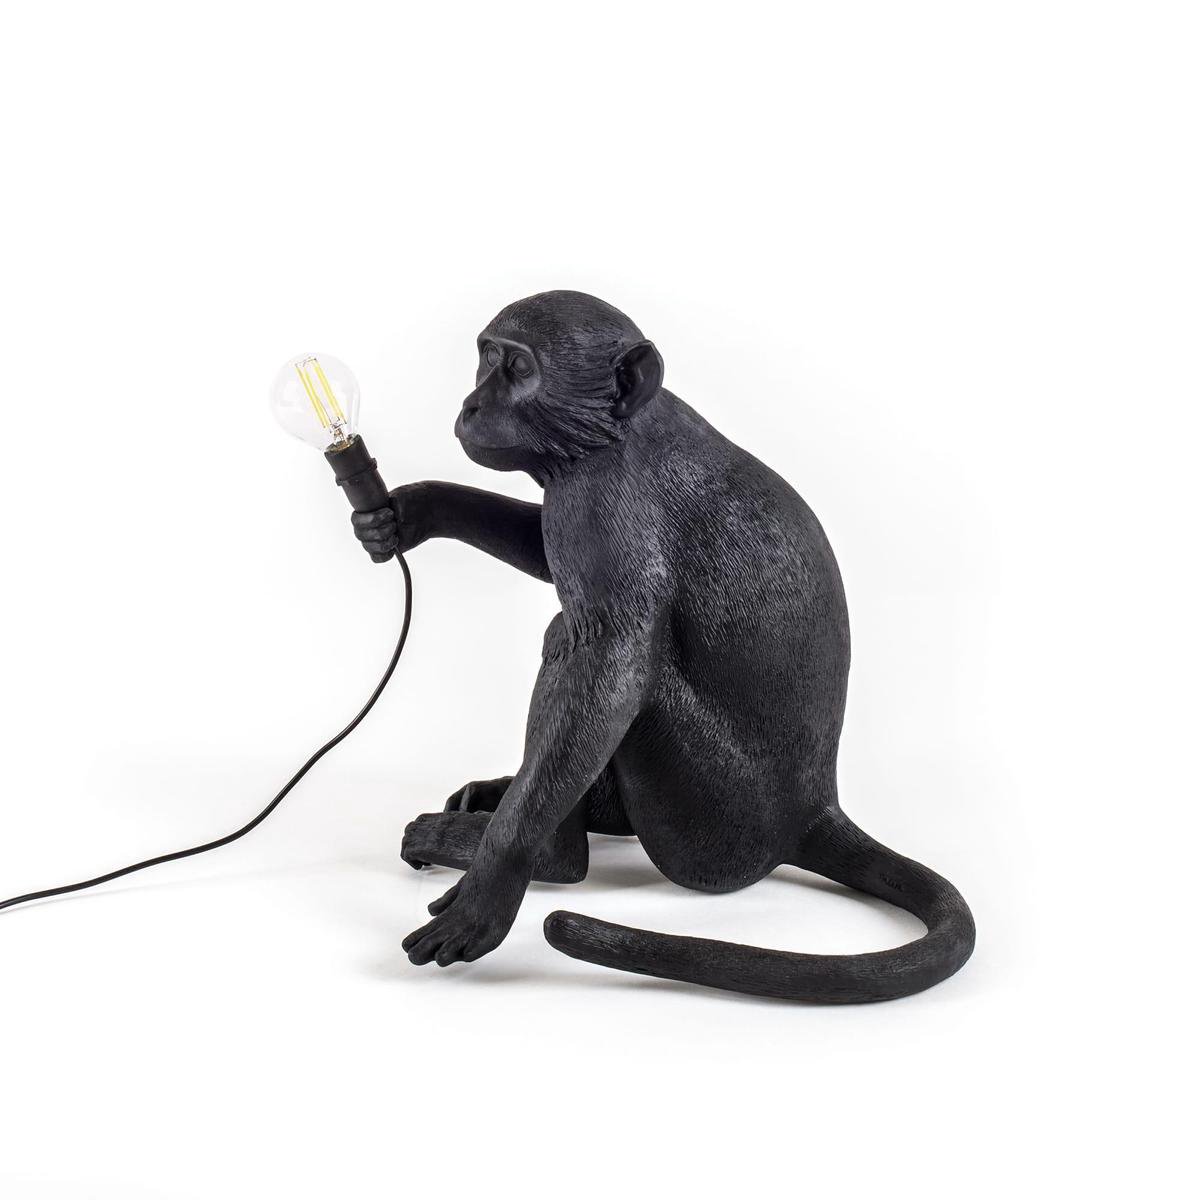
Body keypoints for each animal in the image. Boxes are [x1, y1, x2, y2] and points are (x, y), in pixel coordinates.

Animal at [351, 290, 975, 1002]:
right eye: (485, 359)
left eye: (518, 368)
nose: (471, 405)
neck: (615, 433)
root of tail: (811, 811)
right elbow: (542, 555)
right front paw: (412, 509)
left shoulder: (601, 502)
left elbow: (611, 663)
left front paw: (495, 880)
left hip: (708, 827)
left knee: (573, 641)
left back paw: (547, 854)